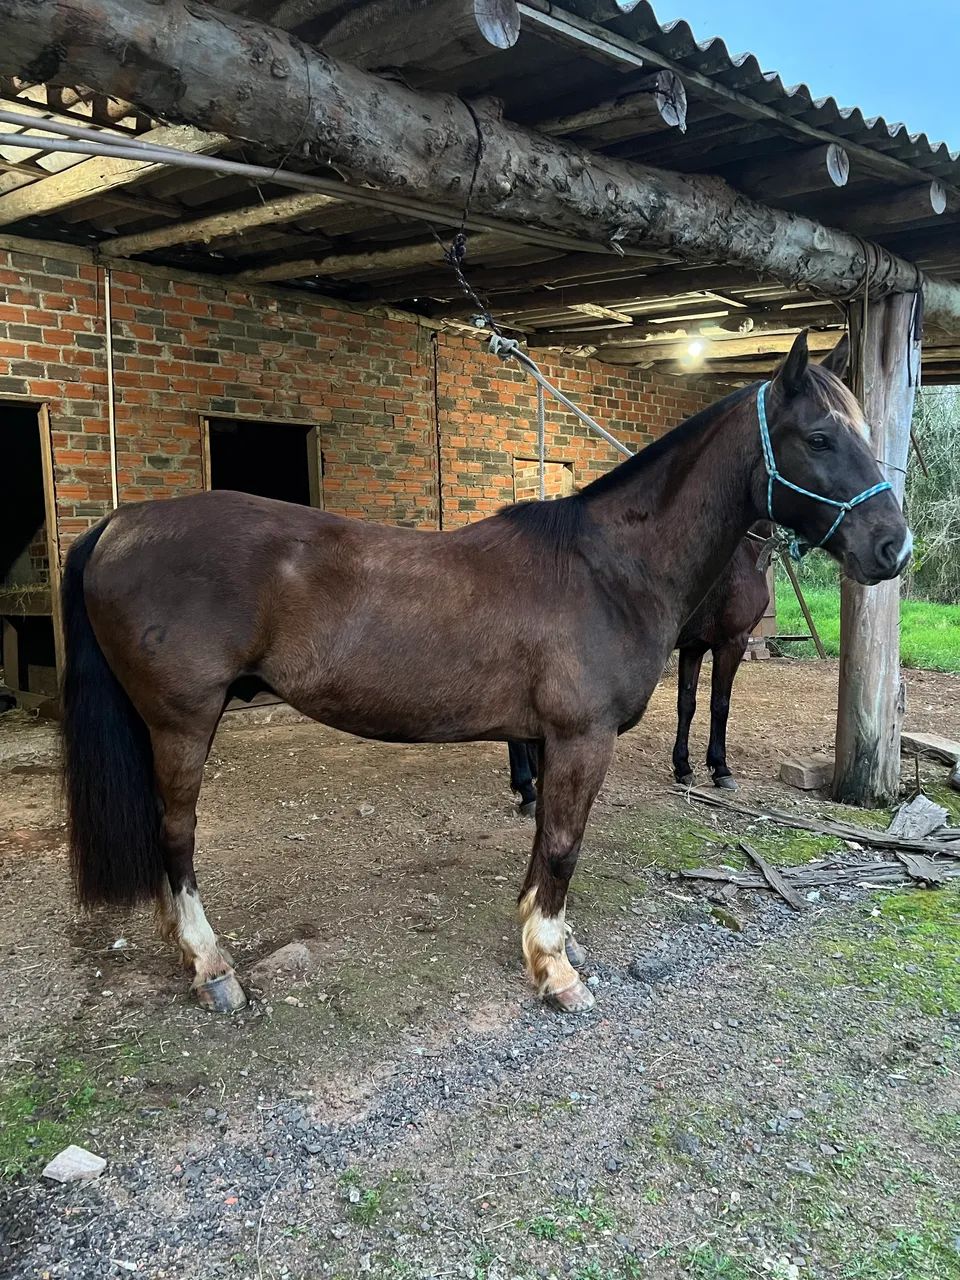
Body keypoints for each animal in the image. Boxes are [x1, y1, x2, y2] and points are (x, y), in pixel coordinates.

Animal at [507, 524, 771, 813]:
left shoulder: (694, 647)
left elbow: (687, 704)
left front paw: (683, 766)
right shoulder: (732, 642)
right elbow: (720, 705)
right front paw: (721, 768)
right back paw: (527, 789)